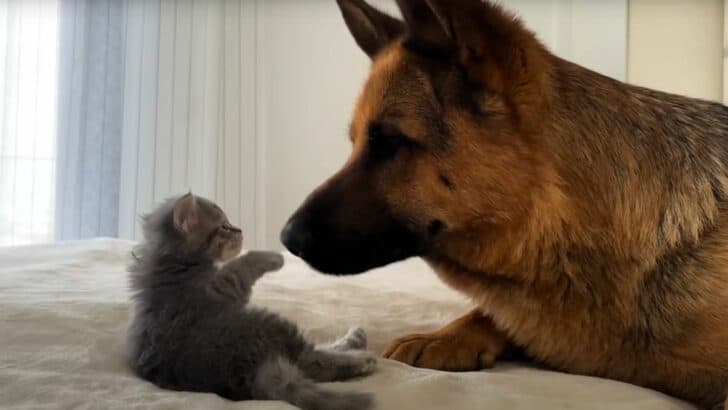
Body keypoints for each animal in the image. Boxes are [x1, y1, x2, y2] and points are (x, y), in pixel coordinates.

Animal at [126, 194, 376, 408]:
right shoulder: (220, 286)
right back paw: (362, 357)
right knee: (311, 360)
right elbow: (243, 263)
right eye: (224, 227)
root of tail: (251, 377)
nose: (240, 229)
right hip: (270, 323)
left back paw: (356, 339)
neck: (170, 263)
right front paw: (275, 257)